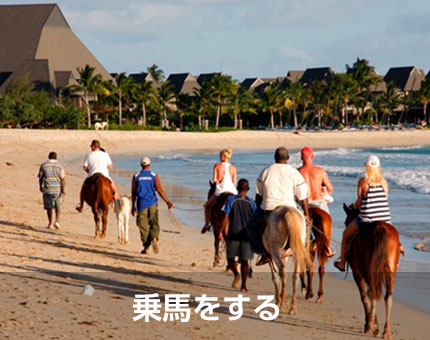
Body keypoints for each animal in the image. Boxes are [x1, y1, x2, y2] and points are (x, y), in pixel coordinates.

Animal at [340, 203, 402, 338]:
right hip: (390, 270)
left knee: (371, 293)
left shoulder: (357, 272)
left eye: (346, 221)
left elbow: (364, 296)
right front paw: (373, 323)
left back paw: (371, 326)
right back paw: (386, 331)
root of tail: (380, 227)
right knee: (388, 297)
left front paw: (370, 324)